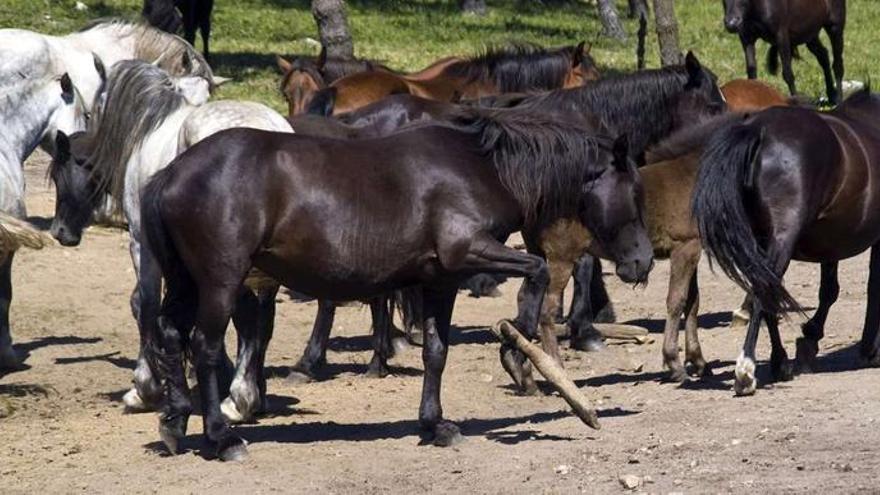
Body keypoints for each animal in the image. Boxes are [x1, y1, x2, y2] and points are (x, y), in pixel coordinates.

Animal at [56, 58, 292, 414]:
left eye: (58, 174)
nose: (59, 231)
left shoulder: (141, 243)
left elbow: (145, 304)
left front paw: (145, 388)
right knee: (261, 318)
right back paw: (246, 395)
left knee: (247, 316)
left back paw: (239, 398)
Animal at [696, 90, 880, 400]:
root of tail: (758, 130)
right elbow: (872, 289)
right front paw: (868, 349)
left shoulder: (830, 243)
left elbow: (829, 291)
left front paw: (811, 337)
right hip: (781, 240)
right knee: (764, 291)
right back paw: (746, 370)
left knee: (769, 291)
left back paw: (780, 362)